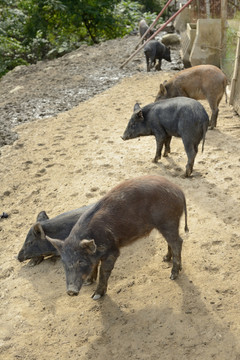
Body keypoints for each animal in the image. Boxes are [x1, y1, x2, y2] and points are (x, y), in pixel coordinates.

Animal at [45, 176, 188, 300]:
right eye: (64, 262)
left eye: (81, 261)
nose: (71, 291)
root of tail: (180, 191)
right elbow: (95, 265)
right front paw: (88, 283)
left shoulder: (112, 251)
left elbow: (104, 271)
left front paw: (95, 296)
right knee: (171, 241)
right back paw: (165, 259)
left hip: (168, 220)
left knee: (178, 242)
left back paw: (172, 275)